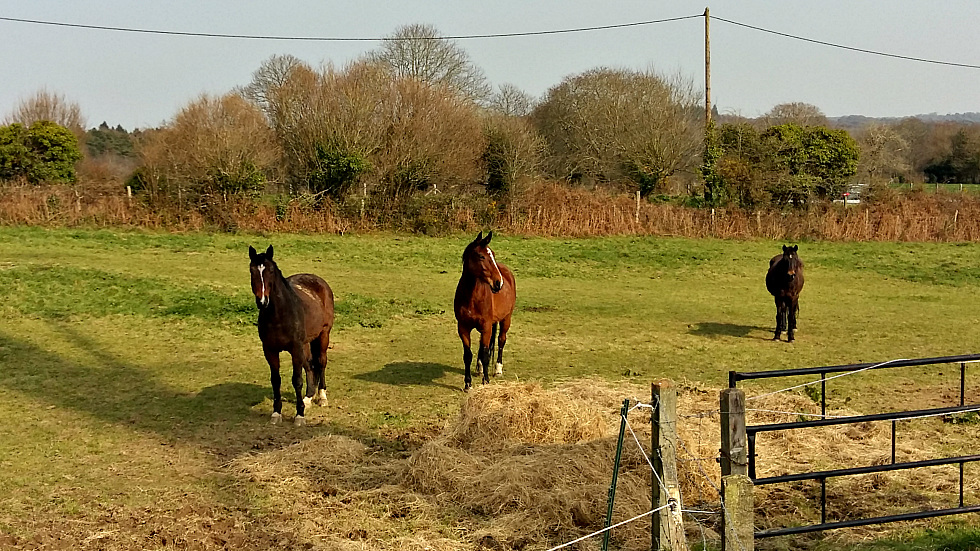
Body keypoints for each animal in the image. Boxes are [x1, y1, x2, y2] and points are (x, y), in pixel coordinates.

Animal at [247, 247, 334, 426]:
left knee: (321, 362)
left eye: (270, 271)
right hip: (306, 344)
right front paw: (276, 413)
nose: (262, 301)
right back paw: (308, 398)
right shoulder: (270, 350)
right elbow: (276, 380)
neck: (279, 315)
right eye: (252, 270)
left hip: (323, 335)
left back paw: (322, 397)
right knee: (310, 366)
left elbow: (297, 380)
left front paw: (299, 415)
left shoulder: (295, 348)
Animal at [456, 232, 516, 392]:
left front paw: (486, 381)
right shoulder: (463, 328)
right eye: (481, 256)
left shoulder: (486, 327)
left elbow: (485, 354)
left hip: (506, 319)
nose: (498, 282)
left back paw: (497, 369)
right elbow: (468, 355)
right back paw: (480, 369)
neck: (471, 297)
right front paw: (468, 384)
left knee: (501, 340)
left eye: (493, 254)